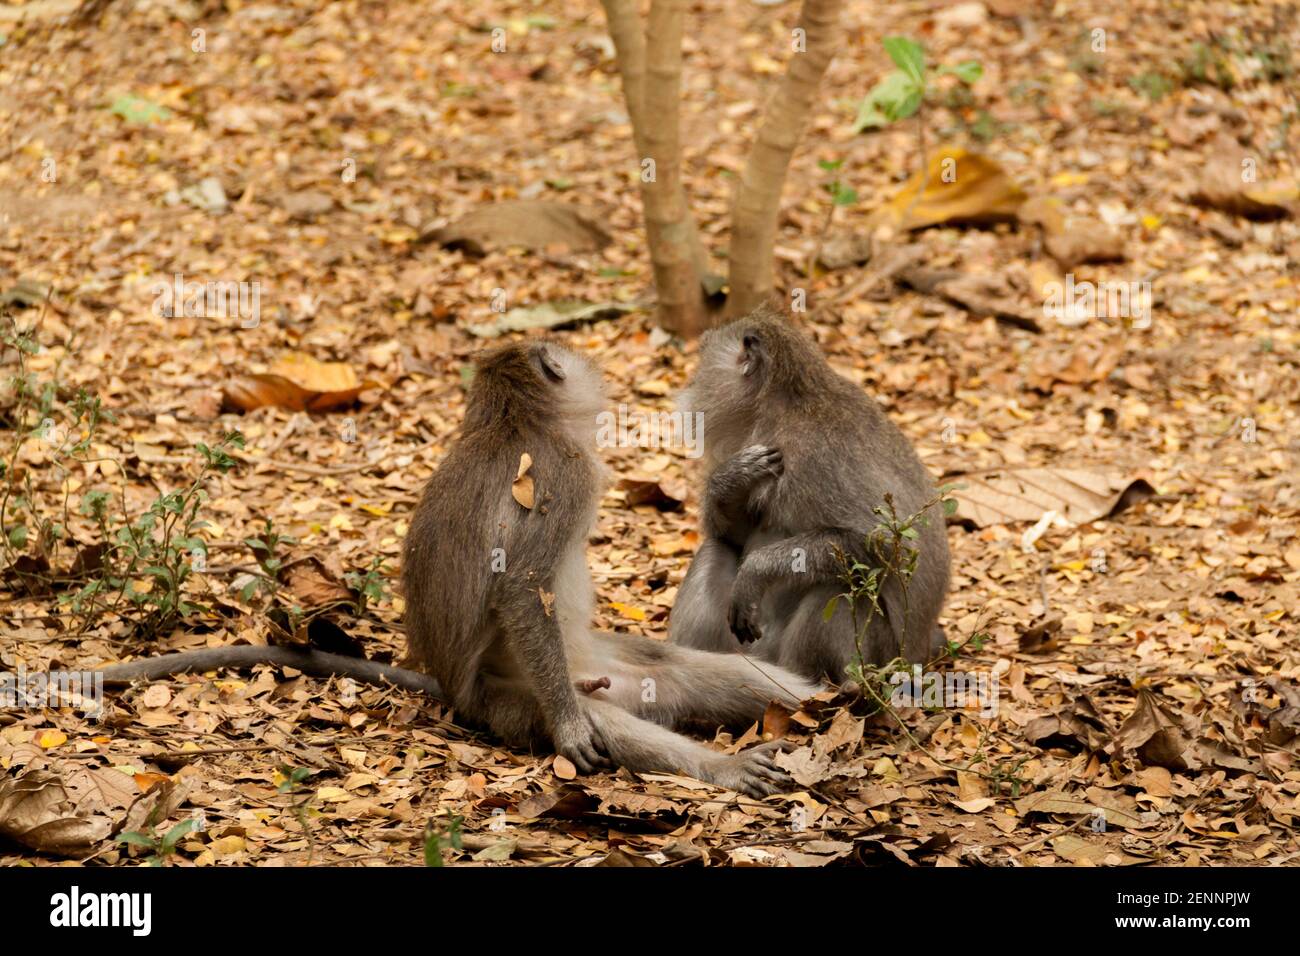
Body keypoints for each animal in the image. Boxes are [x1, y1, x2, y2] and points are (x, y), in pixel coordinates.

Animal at [403, 340, 821, 796]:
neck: (511, 422)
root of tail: (456, 696)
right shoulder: (568, 474)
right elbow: (522, 587)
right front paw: (569, 727)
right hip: (503, 701)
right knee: (604, 719)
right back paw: (722, 765)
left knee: (696, 669)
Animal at [670, 304, 956, 681]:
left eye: (702, 359)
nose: (686, 386)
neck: (781, 407)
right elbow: (735, 536)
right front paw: (729, 478)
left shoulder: (815, 457)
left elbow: (883, 544)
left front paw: (756, 571)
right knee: (716, 549)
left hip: (879, 653)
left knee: (842, 585)